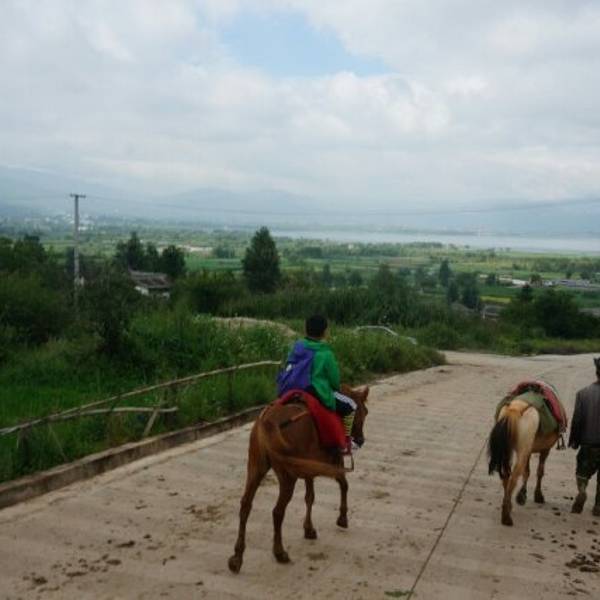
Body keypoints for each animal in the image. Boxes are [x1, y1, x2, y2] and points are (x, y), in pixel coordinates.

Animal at [228, 385, 369, 573]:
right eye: (364, 412)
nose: (360, 440)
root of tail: (267, 422)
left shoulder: (308, 468)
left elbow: (310, 497)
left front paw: (308, 529)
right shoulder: (334, 463)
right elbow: (344, 485)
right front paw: (342, 518)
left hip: (256, 467)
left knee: (245, 505)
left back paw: (237, 557)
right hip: (287, 477)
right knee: (277, 512)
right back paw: (279, 552)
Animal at [488, 397, 562, 526]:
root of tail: (514, 409)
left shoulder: (529, 450)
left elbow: (527, 471)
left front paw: (522, 495)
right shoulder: (544, 449)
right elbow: (539, 471)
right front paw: (536, 495)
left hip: (510, 451)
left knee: (506, 477)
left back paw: (508, 506)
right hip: (523, 449)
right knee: (513, 477)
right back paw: (506, 516)